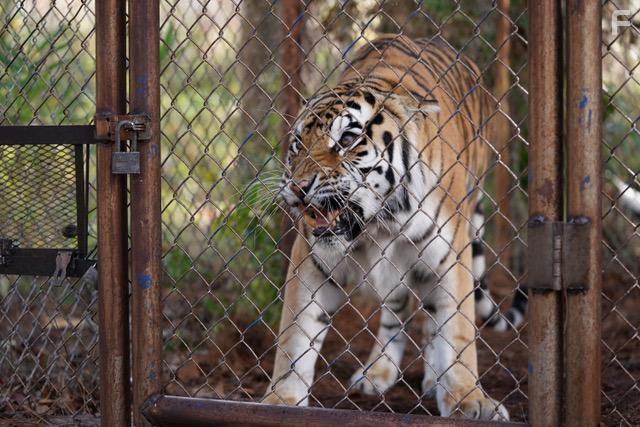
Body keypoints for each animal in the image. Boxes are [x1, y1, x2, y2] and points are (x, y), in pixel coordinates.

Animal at [263, 35, 514, 420]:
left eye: (347, 140)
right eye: (297, 144)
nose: (298, 187)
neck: (379, 223)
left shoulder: (450, 256)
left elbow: (456, 331)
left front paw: (469, 400)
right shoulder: (313, 260)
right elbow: (295, 334)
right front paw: (281, 401)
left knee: (431, 321)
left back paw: (434, 381)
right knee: (397, 312)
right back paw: (377, 374)